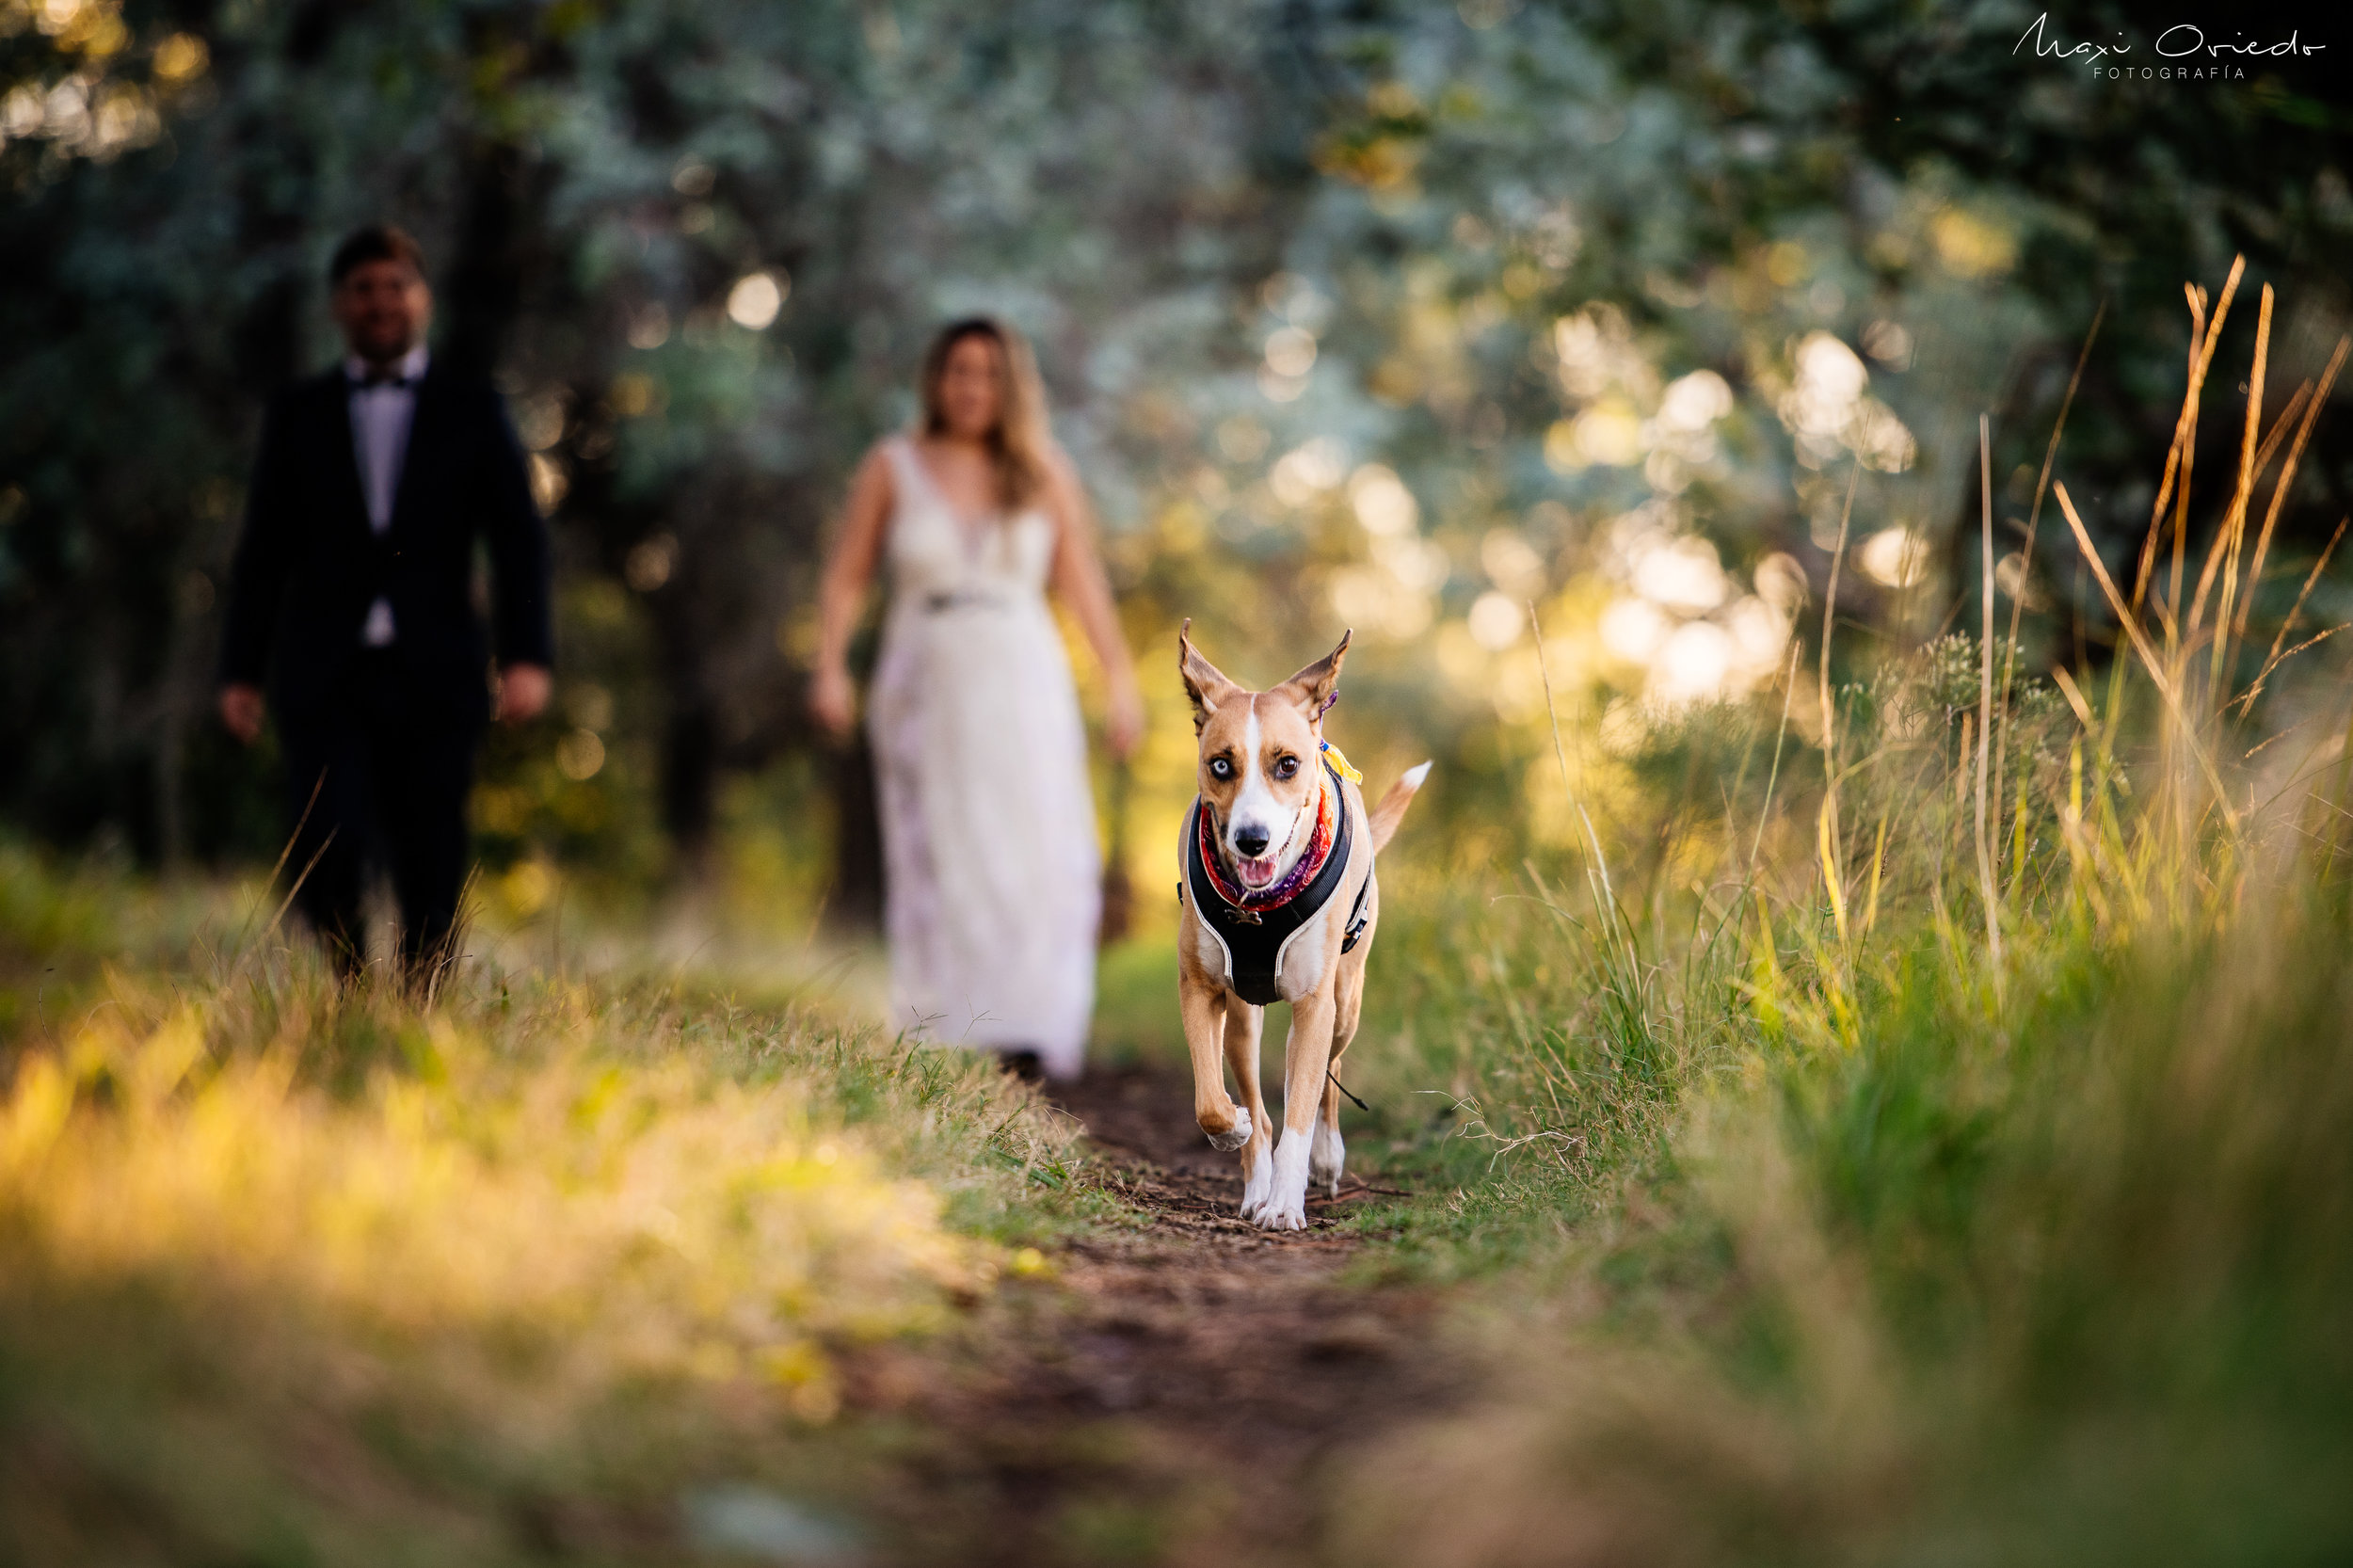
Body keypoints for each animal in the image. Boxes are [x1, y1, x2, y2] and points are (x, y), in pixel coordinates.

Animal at [1186, 616, 1421, 1224]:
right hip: (1245, 1018)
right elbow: (1212, 1103)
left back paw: (1326, 1159)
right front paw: (1235, 1133)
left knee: (1325, 1083)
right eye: (1221, 764)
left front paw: (1288, 1205)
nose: (1251, 839)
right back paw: (1256, 1184)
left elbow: (1302, 1107)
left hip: (1345, 1001)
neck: (1258, 907)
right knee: (1261, 1095)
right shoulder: (1199, 988)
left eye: (1286, 764)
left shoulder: (1316, 1004)